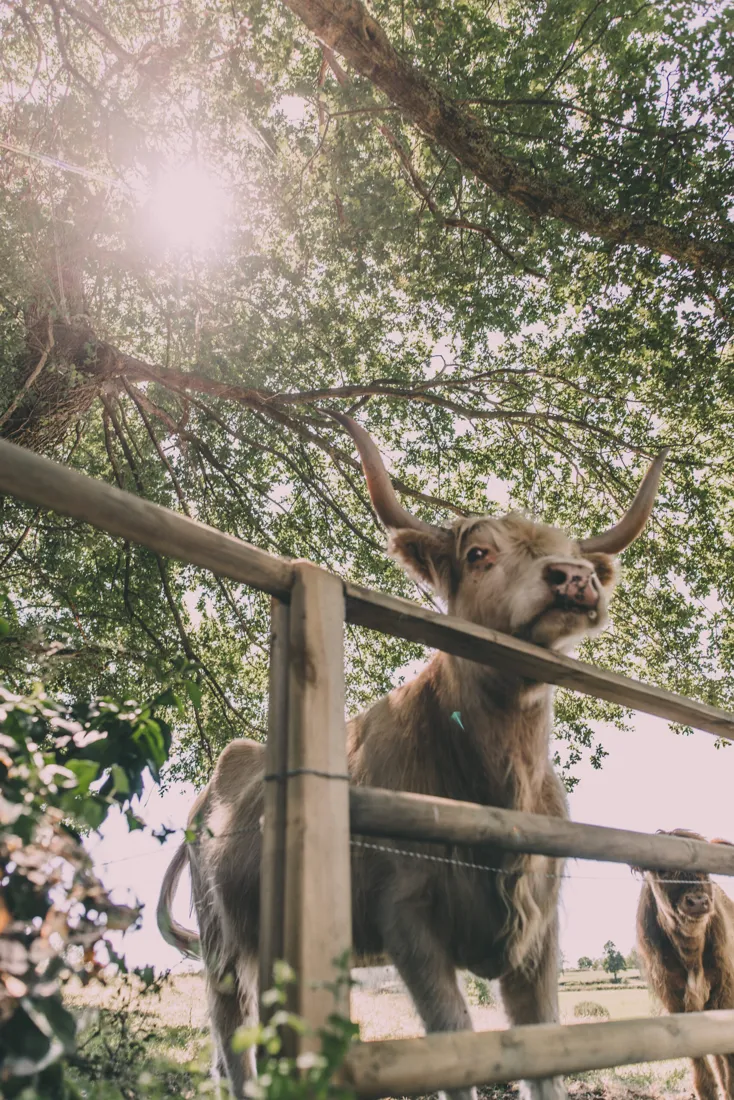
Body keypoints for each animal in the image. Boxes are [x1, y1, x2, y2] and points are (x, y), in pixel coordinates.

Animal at [158, 414, 667, 1100]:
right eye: (479, 554)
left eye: (576, 556)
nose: (573, 580)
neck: (496, 790)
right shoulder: (407, 920)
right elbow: (454, 1049)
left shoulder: (539, 934)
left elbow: (544, 1057)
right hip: (223, 946)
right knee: (232, 1043)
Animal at [636, 830, 734, 1100]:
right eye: (662, 870)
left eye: (707, 867)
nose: (698, 901)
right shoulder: (675, 1000)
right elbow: (703, 1074)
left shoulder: (725, 991)